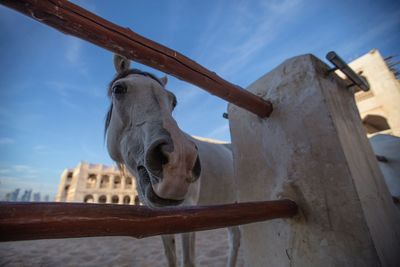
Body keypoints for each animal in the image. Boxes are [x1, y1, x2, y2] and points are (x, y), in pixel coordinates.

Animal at [104, 55, 239, 267]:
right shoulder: (160, 216)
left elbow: (188, 261)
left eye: (173, 101)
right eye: (118, 89)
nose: (179, 161)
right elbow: (171, 258)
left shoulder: (189, 211)